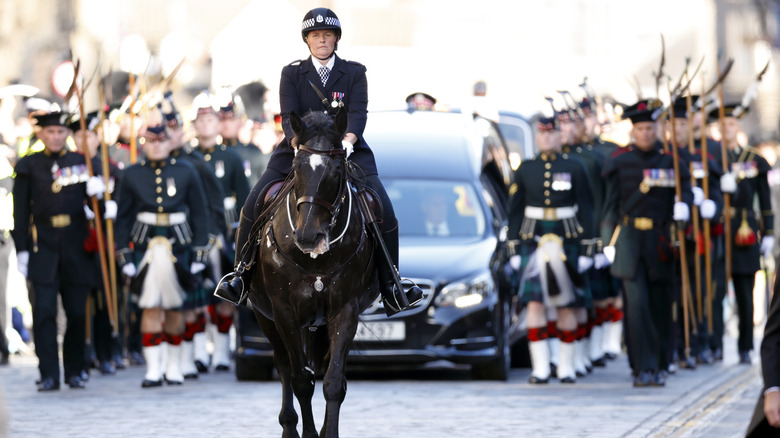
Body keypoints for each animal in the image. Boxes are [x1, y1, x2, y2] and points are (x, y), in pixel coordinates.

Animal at [245, 110, 376, 438]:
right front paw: (306, 433)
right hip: (266, 317)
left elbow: (333, 382)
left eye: (337, 169)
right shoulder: (283, 313)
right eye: (296, 167)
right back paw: (289, 426)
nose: (307, 236)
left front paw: (329, 432)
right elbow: (301, 381)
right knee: (283, 365)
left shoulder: (345, 310)